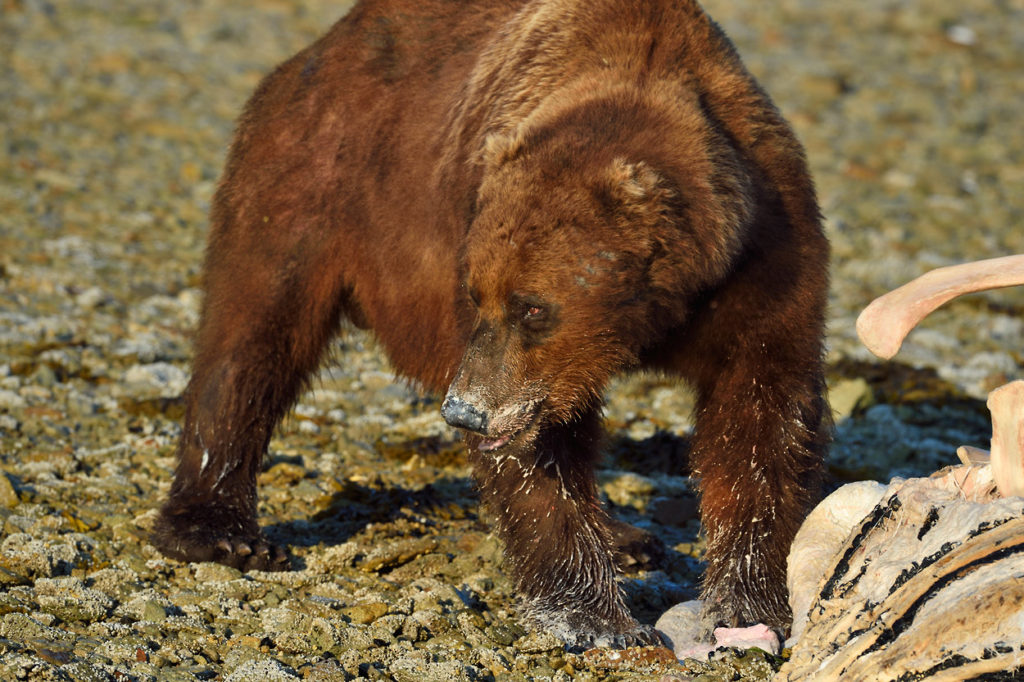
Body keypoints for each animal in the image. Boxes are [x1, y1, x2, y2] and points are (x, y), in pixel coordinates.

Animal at [151, 0, 831, 647]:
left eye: (533, 306)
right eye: (478, 295)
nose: (465, 412)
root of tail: (322, 45)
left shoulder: (764, 263)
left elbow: (759, 418)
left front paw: (746, 601)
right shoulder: (466, 229)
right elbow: (538, 460)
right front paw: (594, 617)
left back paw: (624, 535)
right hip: (309, 173)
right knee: (254, 332)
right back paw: (219, 530)